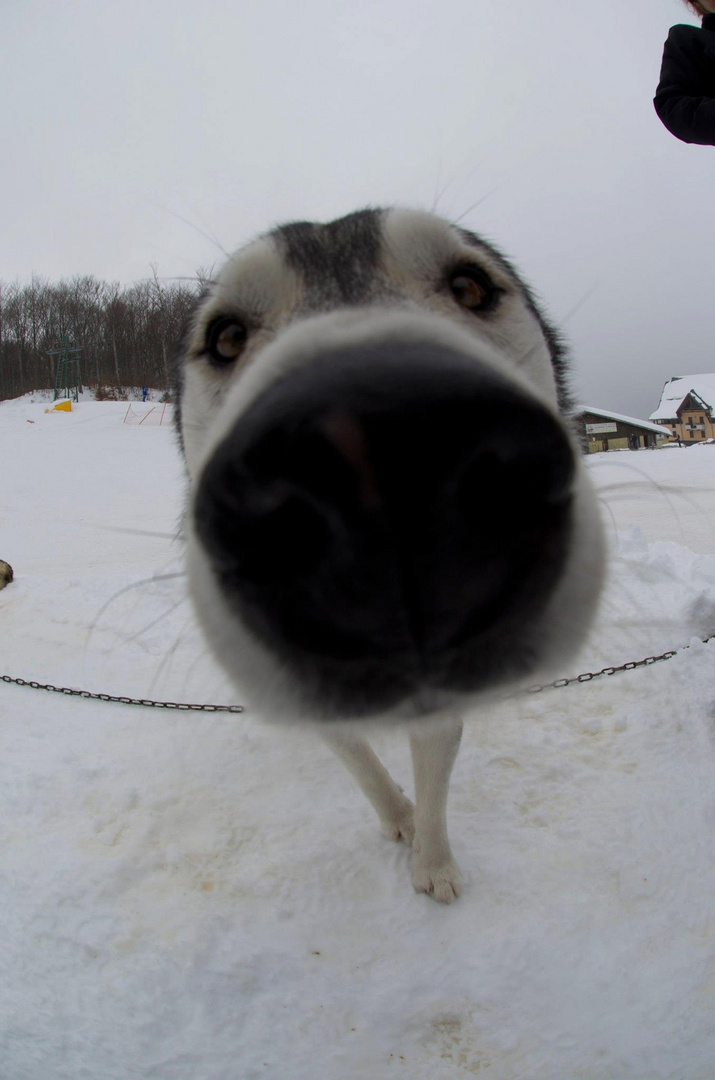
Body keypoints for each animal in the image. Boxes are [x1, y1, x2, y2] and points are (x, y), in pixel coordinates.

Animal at [174, 208, 604, 902]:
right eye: (227, 338)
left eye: (470, 288)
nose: (373, 448)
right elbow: (360, 761)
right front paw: (399, 817)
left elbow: (434, 774)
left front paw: (434, 864)